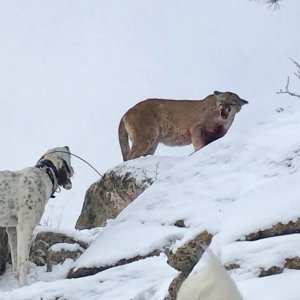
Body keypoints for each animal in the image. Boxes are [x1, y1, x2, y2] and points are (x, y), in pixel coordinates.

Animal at [0, 146, 74, 288]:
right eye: (65, 152)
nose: (67, 146)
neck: (45, 173)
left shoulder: (12, 230)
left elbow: (16, 259)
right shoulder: (25, 228)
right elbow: (23, 261)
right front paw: (24, 285)